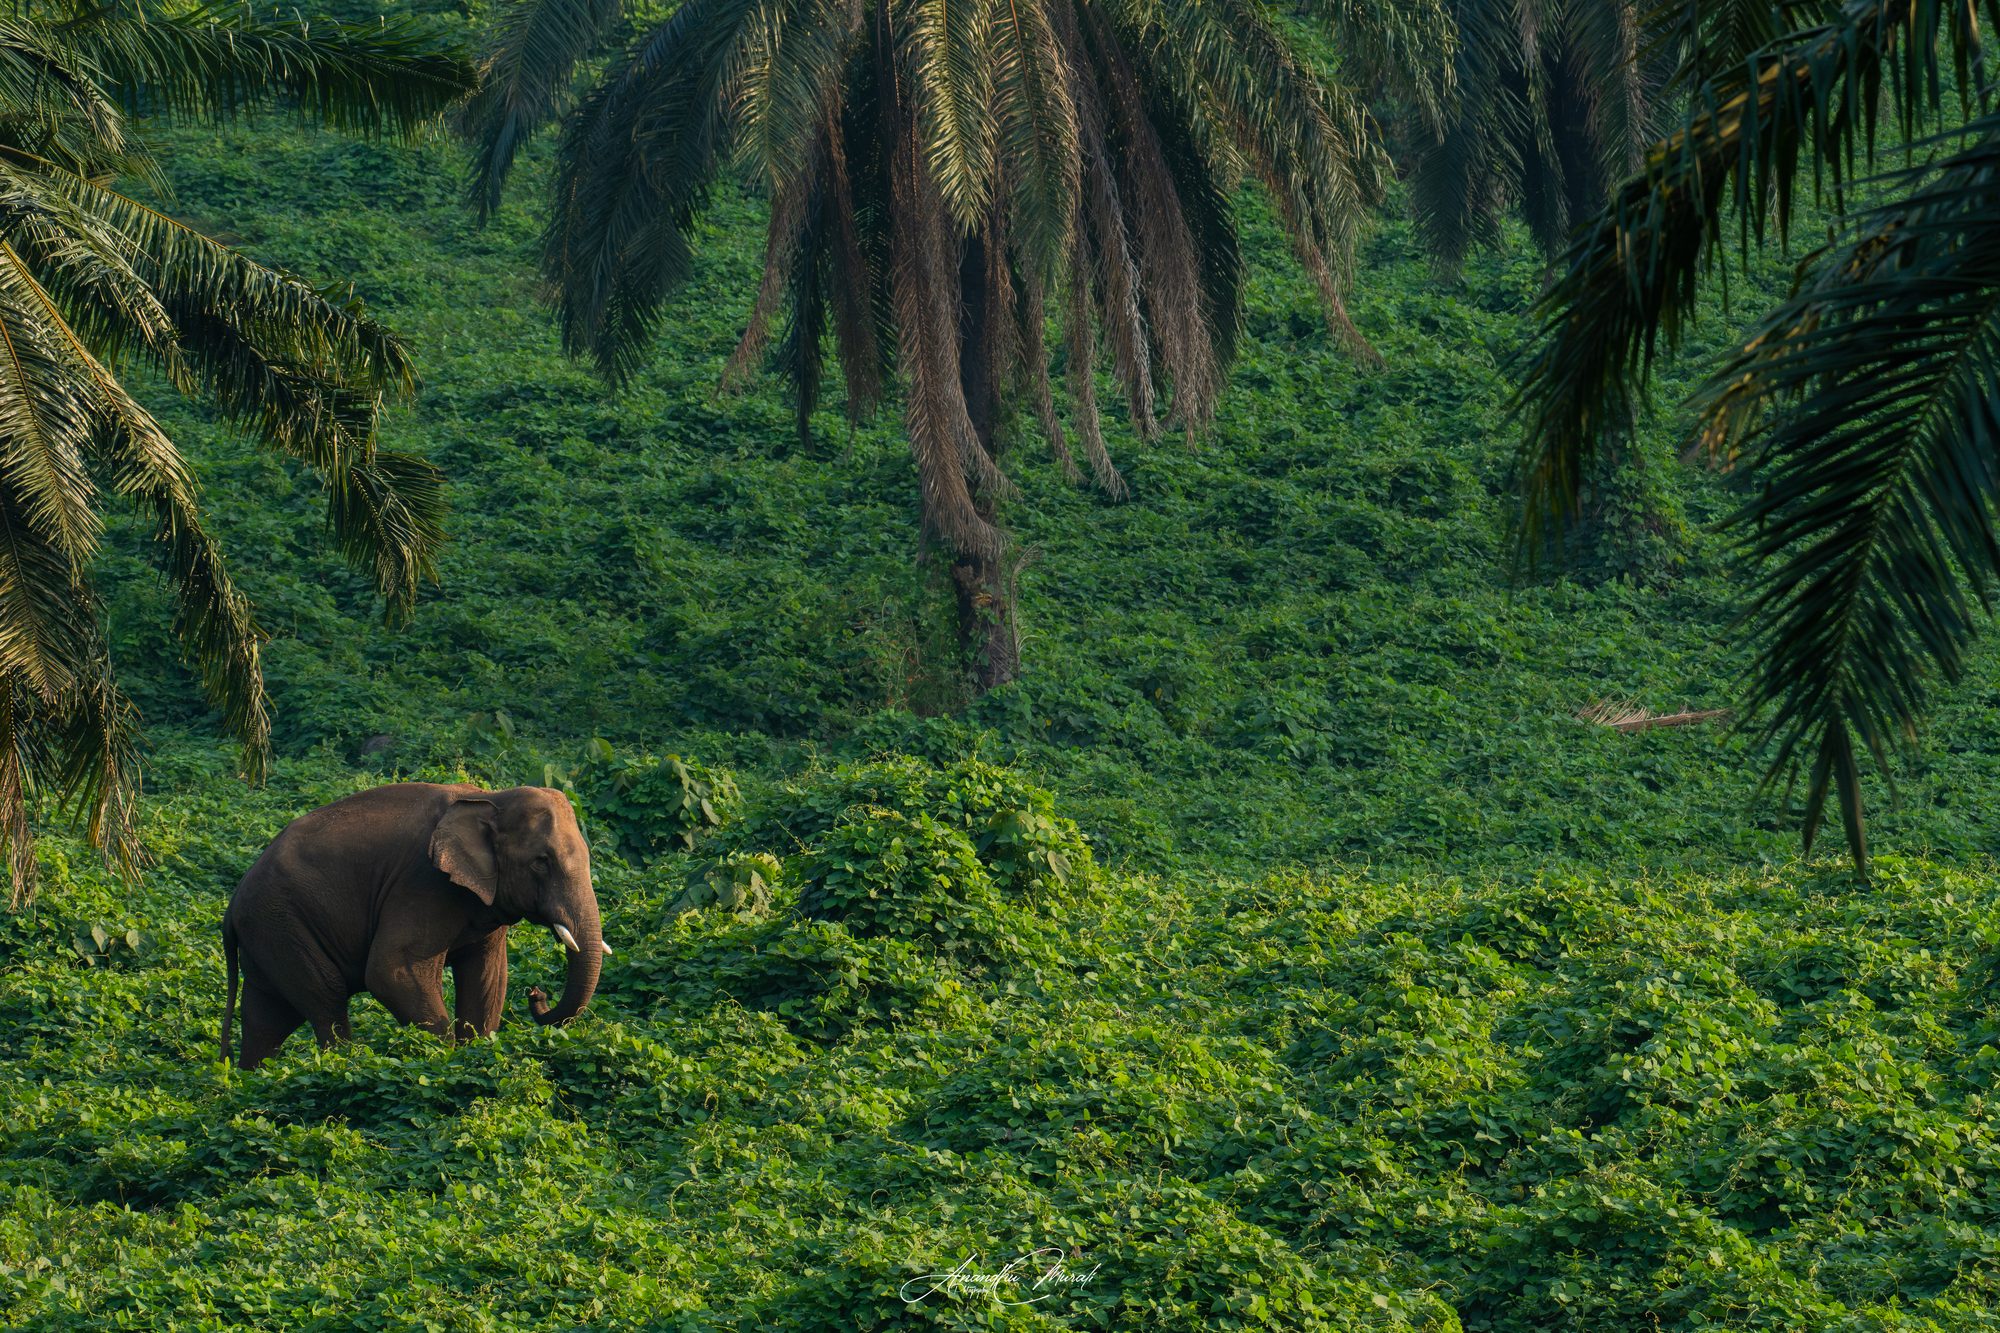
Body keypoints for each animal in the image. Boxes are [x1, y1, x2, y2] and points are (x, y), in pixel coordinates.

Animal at [221, 783, 610, 1070]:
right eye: (541, 862)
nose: (536, 993)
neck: (491, 796)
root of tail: (233, 902)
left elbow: (488, 977)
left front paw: (475, 1053)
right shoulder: (422, 883)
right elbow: (391, 971)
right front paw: (444, 1059)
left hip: (269, 933)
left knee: (267, 1018)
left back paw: (250, 1078)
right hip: (280, 923)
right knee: (325, 996)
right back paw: (345, 1063)